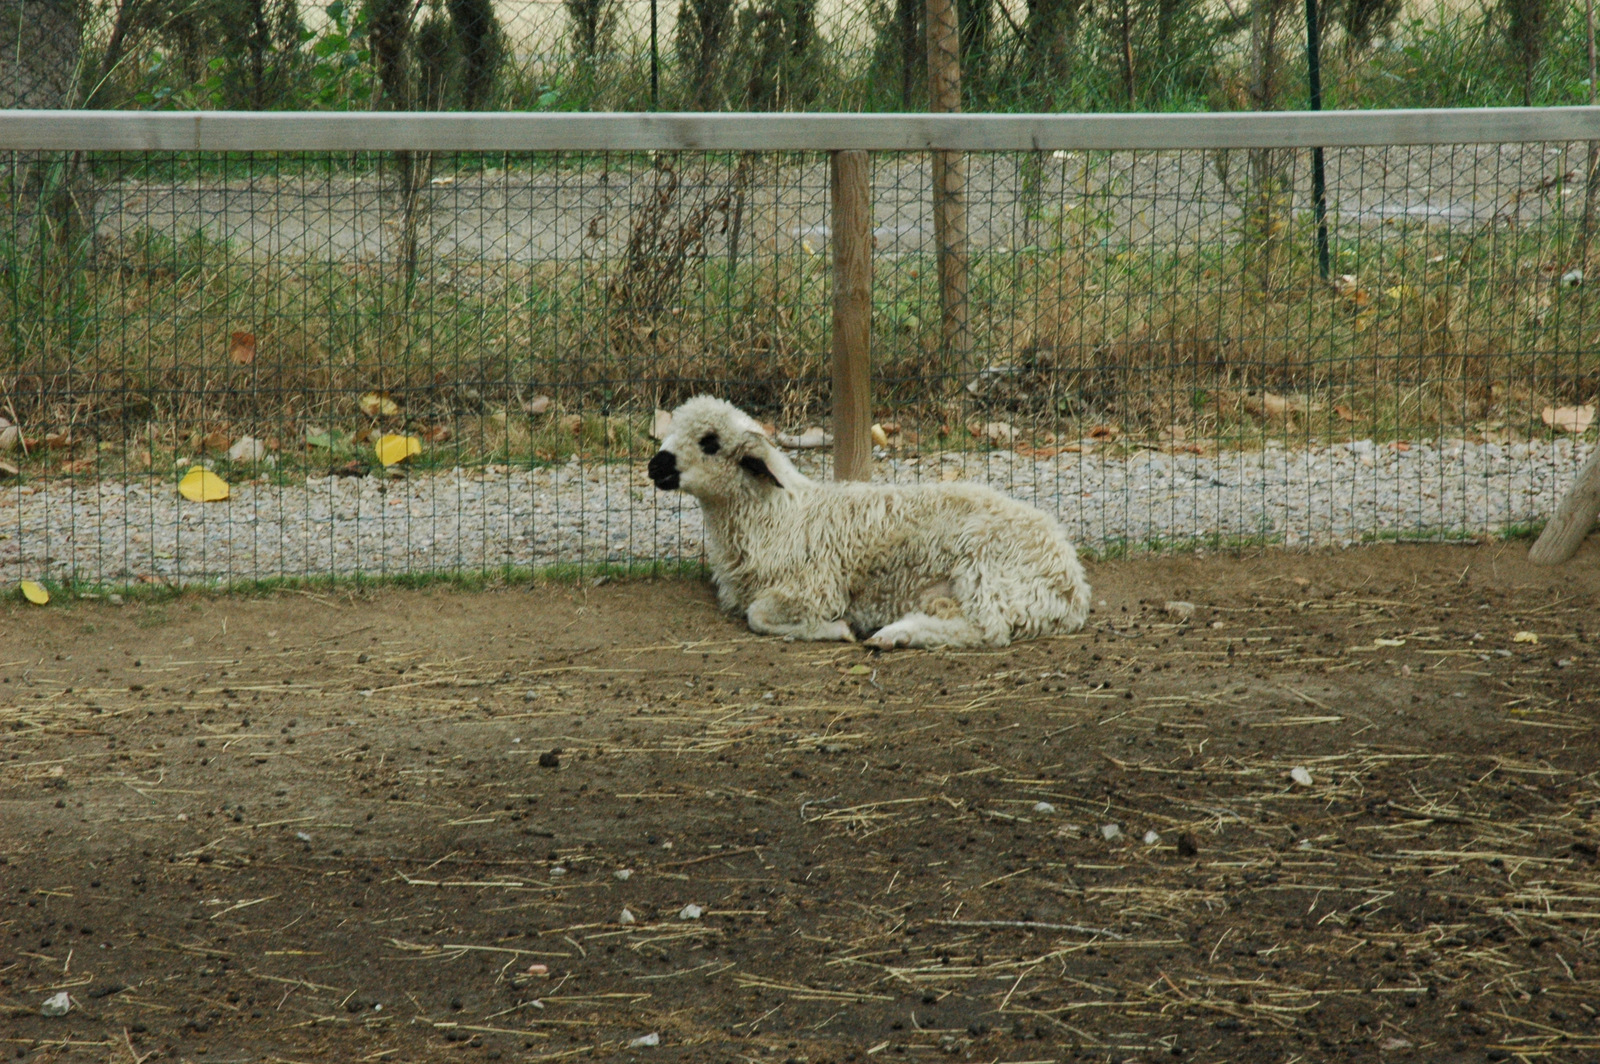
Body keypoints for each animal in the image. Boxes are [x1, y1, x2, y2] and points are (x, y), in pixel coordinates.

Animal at [647, 396, 1091, 649]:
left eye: (709, 442)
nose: (655, 466)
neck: (780, 516)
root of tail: (1073, 588)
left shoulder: (816, 586)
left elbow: (758, 615)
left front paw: (836, 629)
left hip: (987, 567)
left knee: (989, 631)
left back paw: (891, 635)